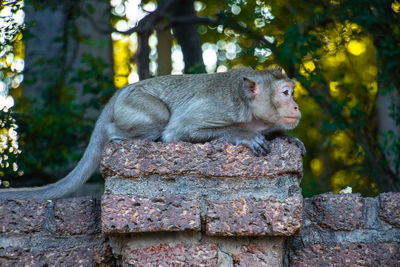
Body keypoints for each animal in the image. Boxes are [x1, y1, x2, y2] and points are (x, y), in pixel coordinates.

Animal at [0, 67, 304, 199]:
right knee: (157, 118)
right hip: (134, 103)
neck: (250, 109)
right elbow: (179, 130)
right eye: (285, 93)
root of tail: (122, 90)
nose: (296, 105)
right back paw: (116, 134)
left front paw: (287, 137)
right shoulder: (224, 108)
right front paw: (244, 136)